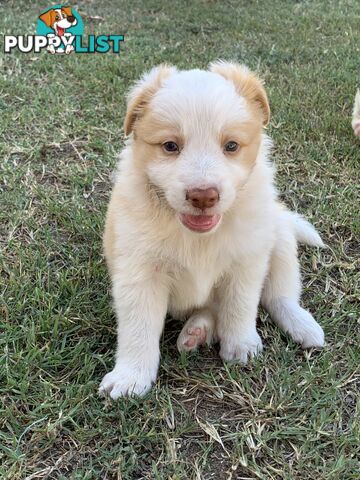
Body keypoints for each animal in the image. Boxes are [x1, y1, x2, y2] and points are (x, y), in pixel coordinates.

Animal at [99, 61, 326, 398]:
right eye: (170, 146)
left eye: (231, 146)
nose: (203, 196)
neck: (198, 237)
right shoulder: (139, 270)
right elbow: (139, 327)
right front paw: (131, 376)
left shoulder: (247, 260)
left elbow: (240, 304)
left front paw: (241, 345)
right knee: (210, 309)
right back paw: (196, 331)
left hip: (280, 235)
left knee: (279, 294)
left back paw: (302, 325)